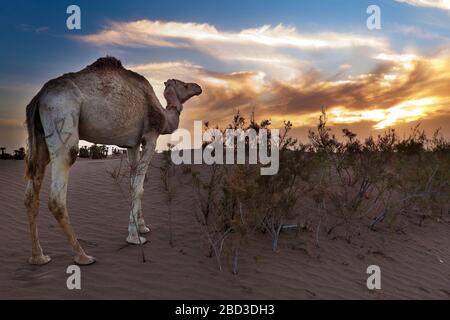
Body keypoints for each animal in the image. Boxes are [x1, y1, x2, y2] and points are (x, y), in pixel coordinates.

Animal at [23, 57, 201, 264]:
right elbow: (139, 187)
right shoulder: (151, 136)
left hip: (40, 139)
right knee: (57, 197)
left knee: (31, 194)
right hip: (62, 117)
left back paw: (38, 257)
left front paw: (142, 227)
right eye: (184, 84)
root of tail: (39, 97)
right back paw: (82, 255)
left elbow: (134, 184)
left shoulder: (132, 144)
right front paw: (134, 237)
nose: (198, 87)